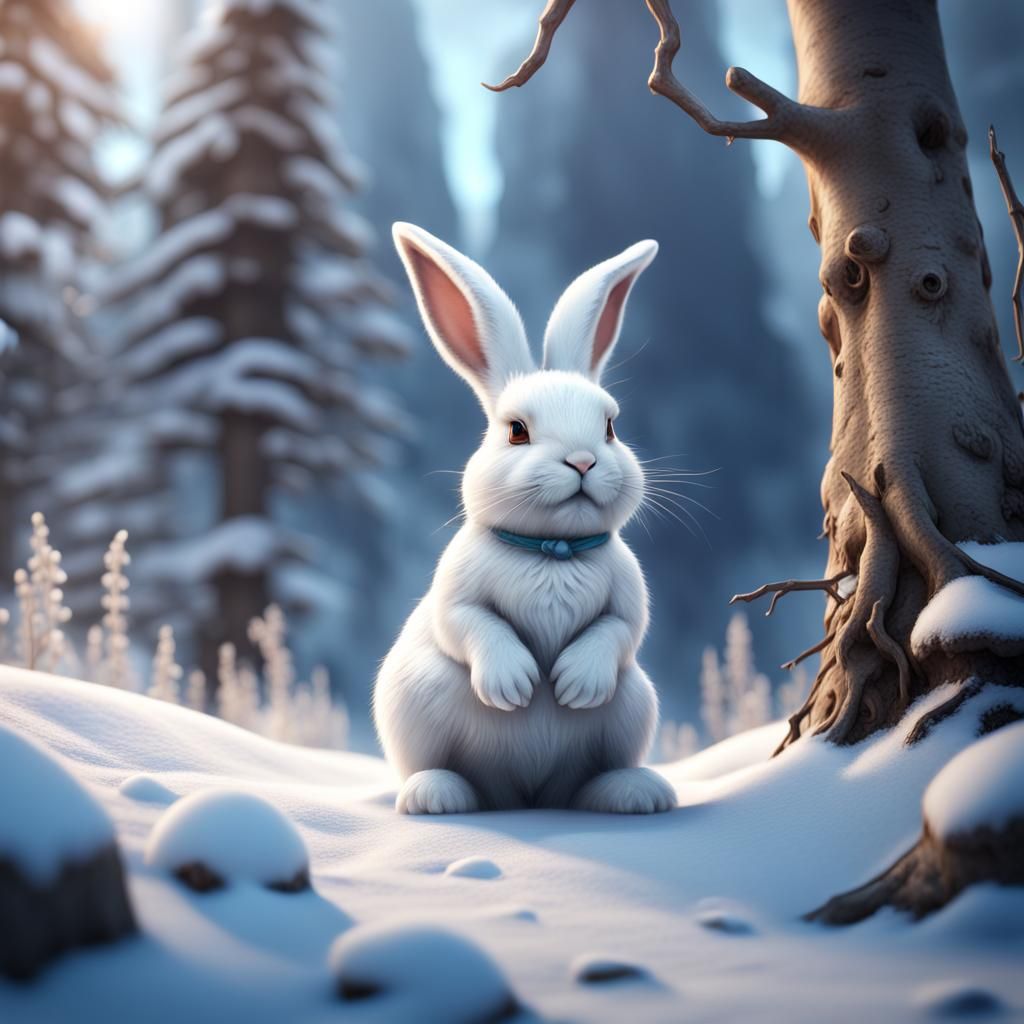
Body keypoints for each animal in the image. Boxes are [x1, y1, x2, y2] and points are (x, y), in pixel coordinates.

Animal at [374, 222, 676, 816]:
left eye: (610, 427)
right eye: (516, 431)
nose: (582, 461)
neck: (552, 550)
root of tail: (525, 794)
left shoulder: (628, 597)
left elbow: (620, 629)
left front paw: (574, 684)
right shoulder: (457, 590)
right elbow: (470, 622)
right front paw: (515, 685)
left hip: (632, 704)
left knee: (586, 781)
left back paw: (634, 792)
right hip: (417, 698)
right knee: (441, 770)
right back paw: (436, 795)